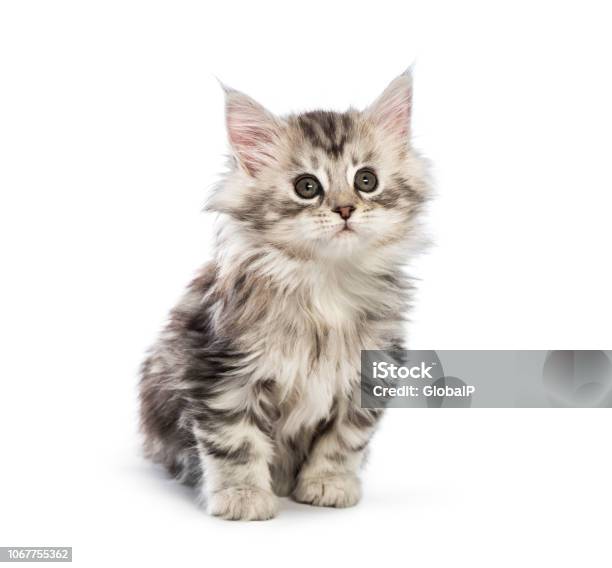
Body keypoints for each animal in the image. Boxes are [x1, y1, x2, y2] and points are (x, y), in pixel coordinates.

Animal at [142, 70, 432, 520]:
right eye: (307, 187)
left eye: (366, 180)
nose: (345, 210)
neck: (325, 285)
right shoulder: (220, 371)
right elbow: (235, 442)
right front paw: (242, 496)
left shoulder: (366, 375)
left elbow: (344, 441)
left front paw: (329, 484)